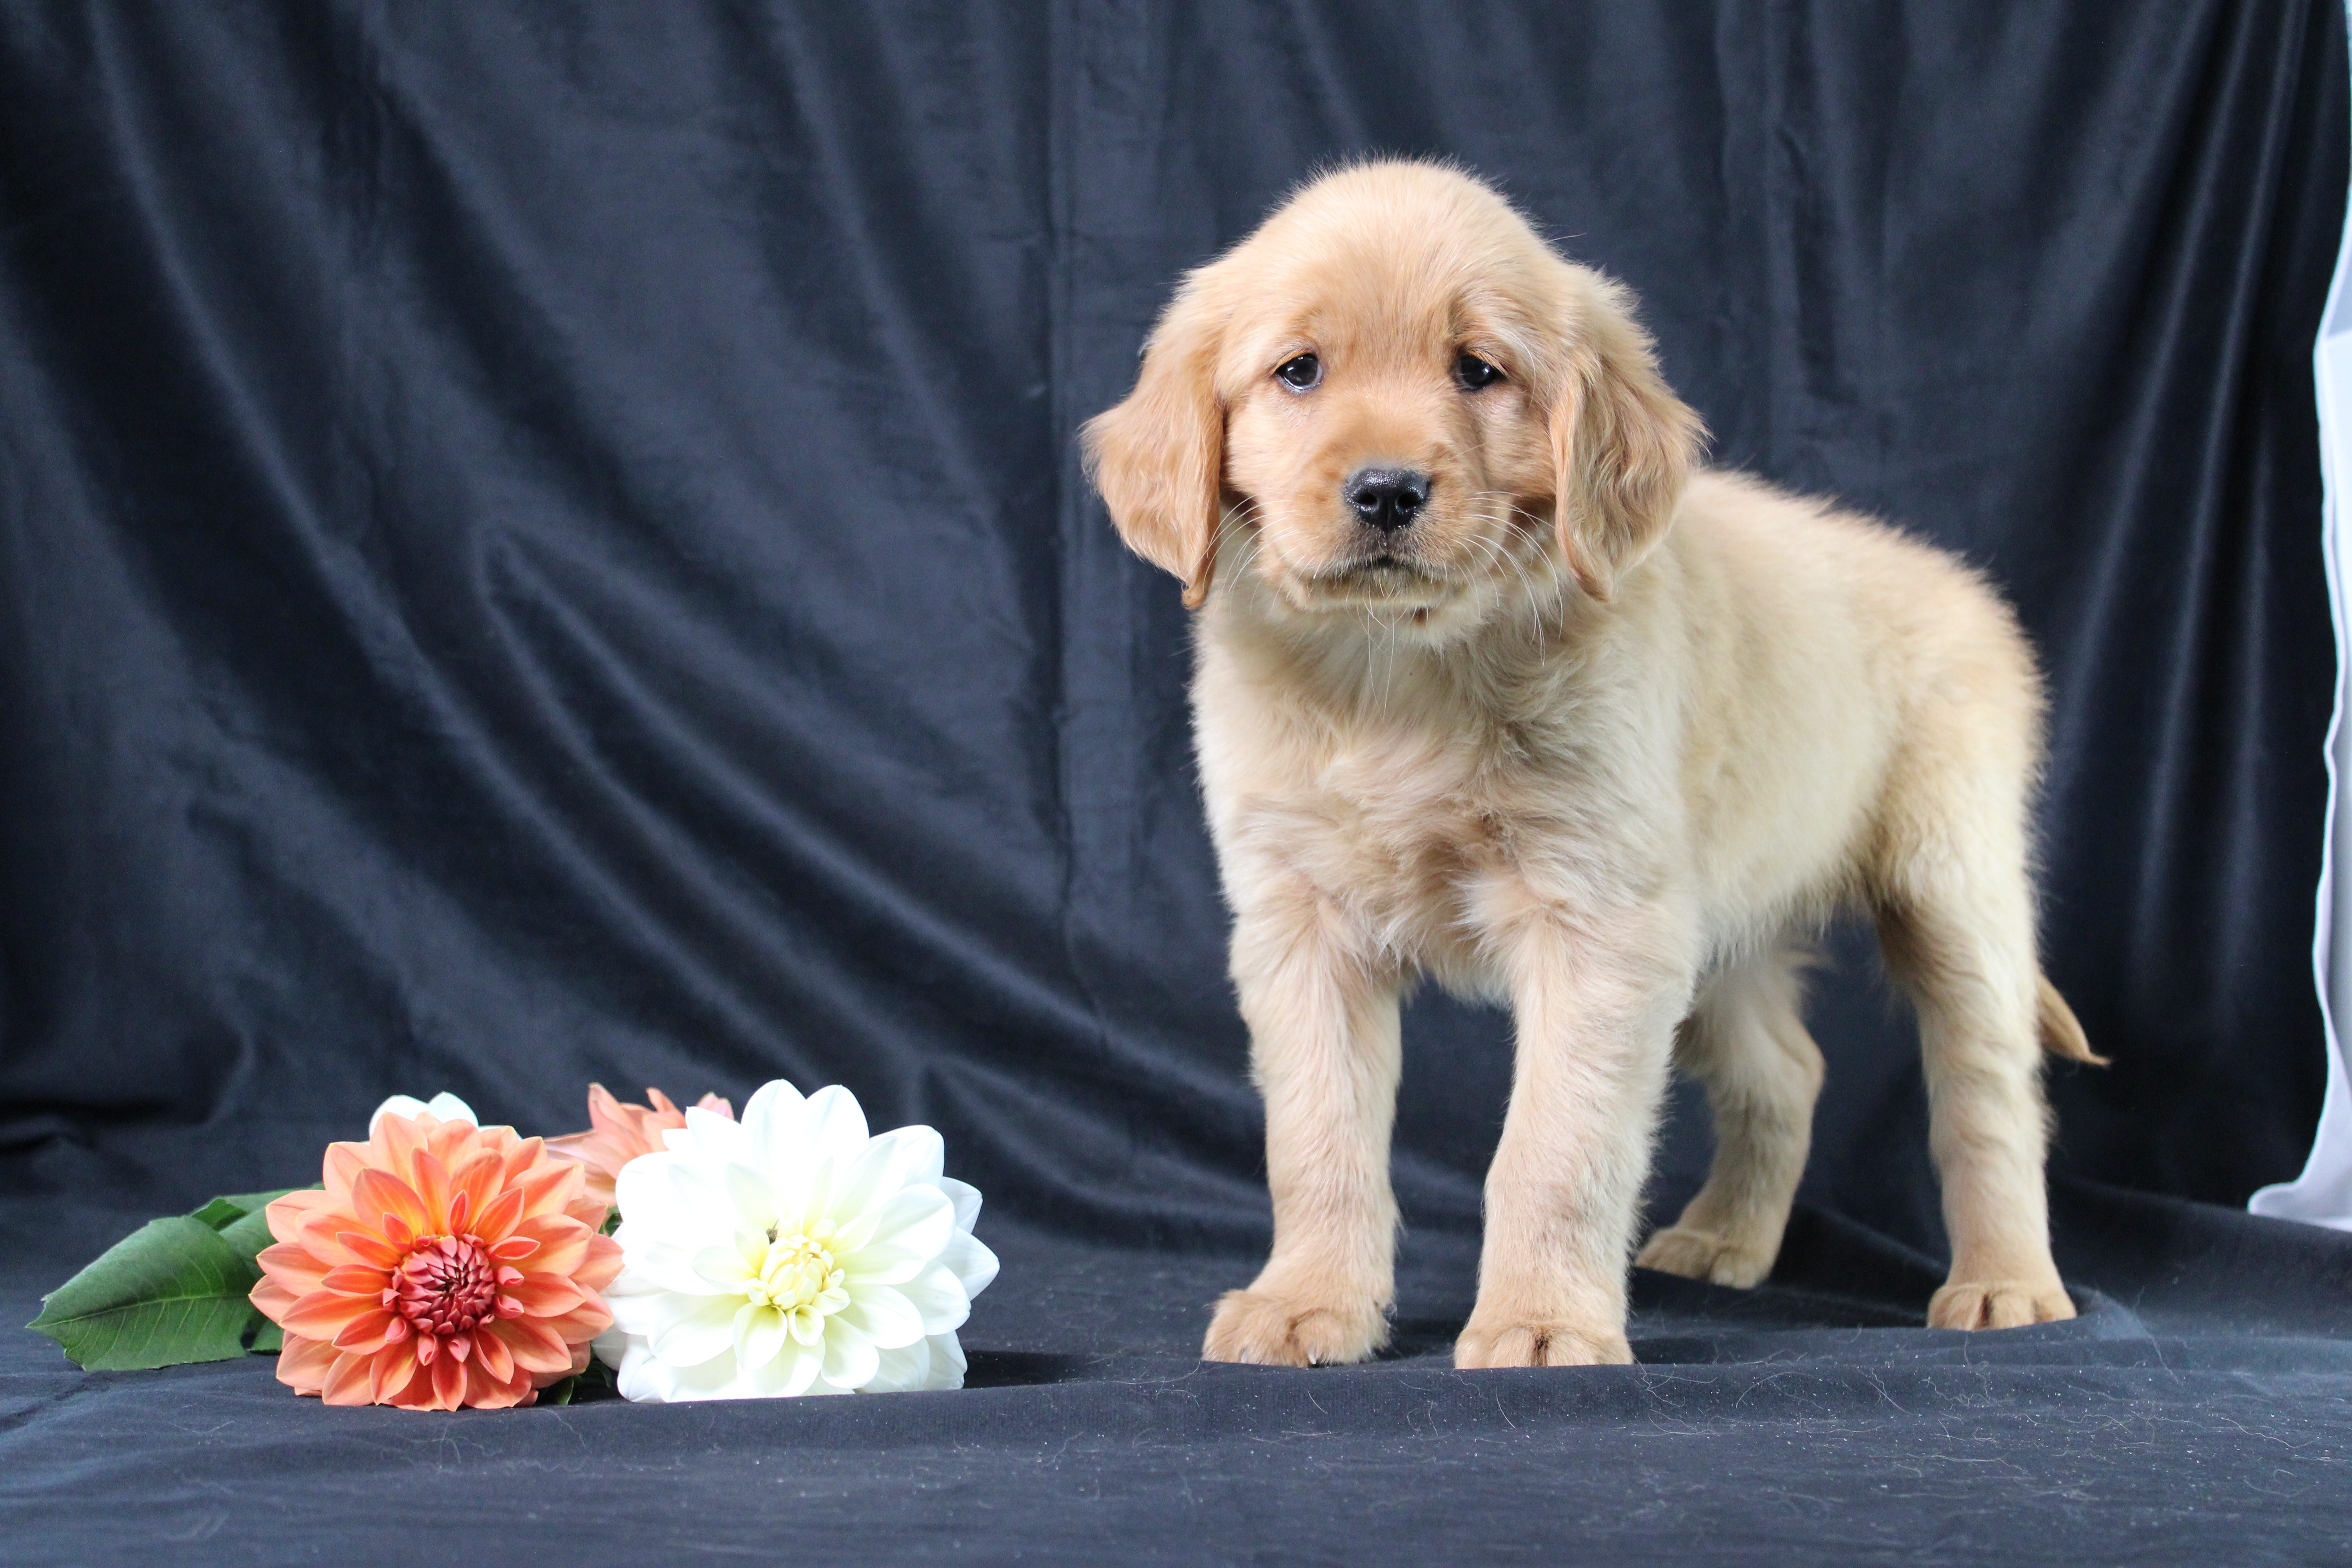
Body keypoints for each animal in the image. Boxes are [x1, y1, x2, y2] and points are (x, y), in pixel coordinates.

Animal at [1082, 152, 2098, 1363]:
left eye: (1479, 370)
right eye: (1298, 372)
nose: (1385, 491)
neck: (1400, 673)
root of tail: (1965, 590)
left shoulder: (1597, 918)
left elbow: (1555, 1146)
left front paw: (1539, 1321)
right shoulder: (1303, 922)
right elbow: (1317, 1137)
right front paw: (1309, 1303)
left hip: (1950, 883)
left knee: (1990, 1092)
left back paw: (2007, 1282)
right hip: (1710, 922)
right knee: (1786, 1070)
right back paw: (1726, 1239)